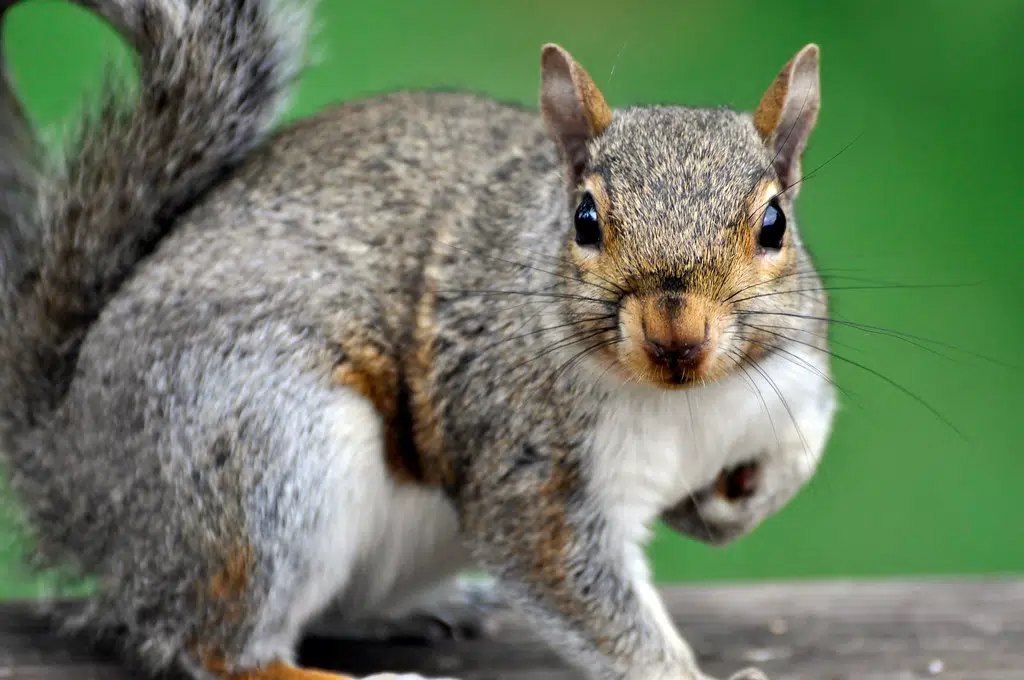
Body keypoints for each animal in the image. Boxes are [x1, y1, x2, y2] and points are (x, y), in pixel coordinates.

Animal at [0, 1, 838, 680]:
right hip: (265, 455)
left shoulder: (798, 380)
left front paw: (733, 504)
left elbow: (800, 454)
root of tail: (76, 472)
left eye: (774, 224)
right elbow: (580, 587)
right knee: (215, 647)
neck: (690, 401)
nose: (676, 334)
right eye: (585, 220)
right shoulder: (529, 464)